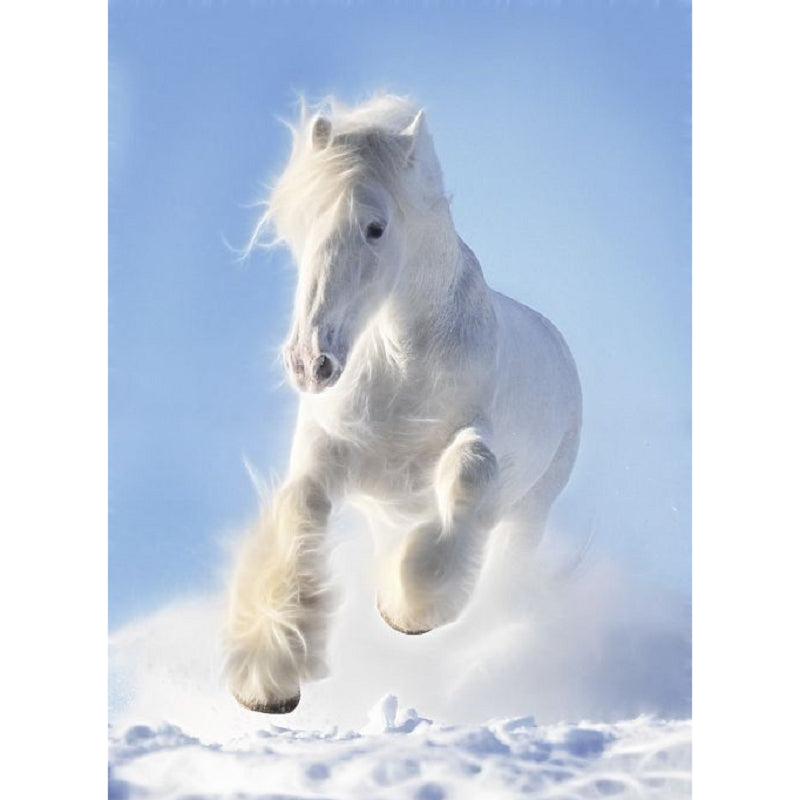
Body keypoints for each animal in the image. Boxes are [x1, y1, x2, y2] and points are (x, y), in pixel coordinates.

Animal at [225, 94, 582, 714]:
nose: (310, 362)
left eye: (375, 227)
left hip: (529, 514)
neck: (399, 368)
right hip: (386, 513)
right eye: (301, 224)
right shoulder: (329, 457)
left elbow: (469, 472)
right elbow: (299, 514)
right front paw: (269, 679)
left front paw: (410, 610)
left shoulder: (469, 442)